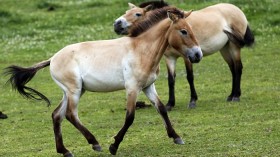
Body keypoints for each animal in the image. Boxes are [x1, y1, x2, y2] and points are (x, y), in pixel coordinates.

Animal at [3, 7, 201, 157]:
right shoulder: (132, 88)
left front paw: (176, 137)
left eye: (191, 29)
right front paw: (114, 146)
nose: (197, 55)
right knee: (70, 115)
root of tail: (52, 59)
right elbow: (130, 117)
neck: (140, 50)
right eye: (183, 31)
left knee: (57, 115)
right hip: (74, 91)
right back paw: (95, 143)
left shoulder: (147, 87)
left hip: (71, 91)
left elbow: (162, 109)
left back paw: (65, 151)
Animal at [114, 0, 256, 110]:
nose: (116, 24)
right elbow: (171, 80)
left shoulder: (188, 56)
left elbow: (190, 76)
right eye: (126, 12)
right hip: (224, 49)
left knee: (238, 68)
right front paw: (170, 104)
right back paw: (231, 95)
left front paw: (192, 101)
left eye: (137, 14)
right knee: (233, 69)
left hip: (233, 47)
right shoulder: (169, 58)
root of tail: (237, 9)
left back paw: (236, 96)